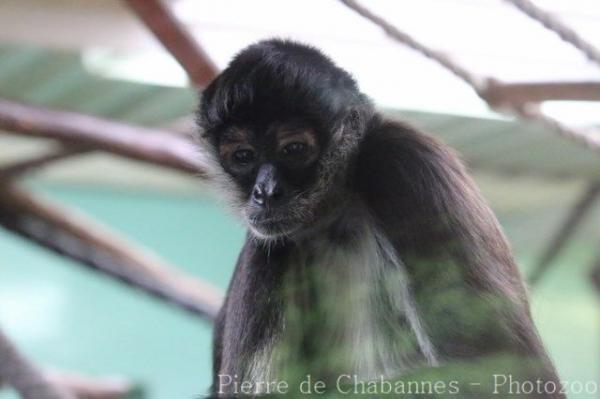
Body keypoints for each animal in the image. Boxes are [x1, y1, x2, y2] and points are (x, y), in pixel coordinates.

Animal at [196, 39, 564, 398]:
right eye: (243, 157)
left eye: (294, 150)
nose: (265, 192)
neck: (337, 208)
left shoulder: (403, 163)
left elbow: (512, 375)